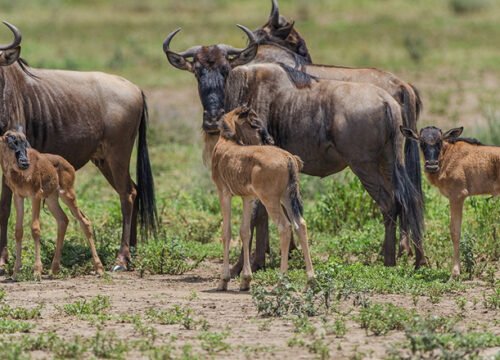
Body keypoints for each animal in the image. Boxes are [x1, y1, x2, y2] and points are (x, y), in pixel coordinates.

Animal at [0, 130, 103, 282]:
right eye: (11, 143)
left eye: (25, 143)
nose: (24, 162)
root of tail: (68, 164)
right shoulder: (18, 196)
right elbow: (18, 231)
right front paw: (15, 273)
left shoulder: (36, 195)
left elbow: (35, 228)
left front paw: (37, 272)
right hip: (51, 199)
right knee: (63, 220)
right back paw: (54, 270)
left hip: (67, 194)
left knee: (84, 221)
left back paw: (99, 269)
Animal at [210, 106, 312, 290]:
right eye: (254, 123)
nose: (269, 140)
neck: (227, 143)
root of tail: (288, 158)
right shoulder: (248, 198)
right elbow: (245, 231)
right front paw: (245, 280)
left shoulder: (224, 193)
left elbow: (226, 231)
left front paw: (224, 280)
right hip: (287, 197)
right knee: (300, 224)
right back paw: (311, 279)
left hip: (270, 200)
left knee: (285, 227)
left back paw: (281, 280)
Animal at [402, 125, 500, 278]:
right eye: (422, 143)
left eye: (439, 142)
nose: (431, 166)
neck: (447, 156)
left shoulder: (457, 196)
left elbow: (455, 232)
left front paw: (454, 273)